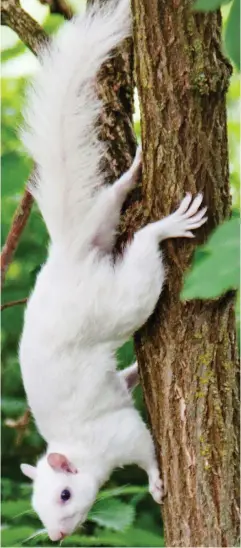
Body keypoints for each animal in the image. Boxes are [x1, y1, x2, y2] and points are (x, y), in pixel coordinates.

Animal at [18, 0, 207, 540]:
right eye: (37, 509)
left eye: (64, 494)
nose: (57, 536)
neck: (82, 450)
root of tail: (68, 256)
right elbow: (123, 385)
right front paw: (133, 376)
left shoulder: (120, 435)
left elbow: (146, 451)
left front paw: (158, 484)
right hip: (103, 227)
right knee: (112, 202)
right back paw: (133, 173)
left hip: (120, 301)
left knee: (143, 248)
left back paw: (165, 225)